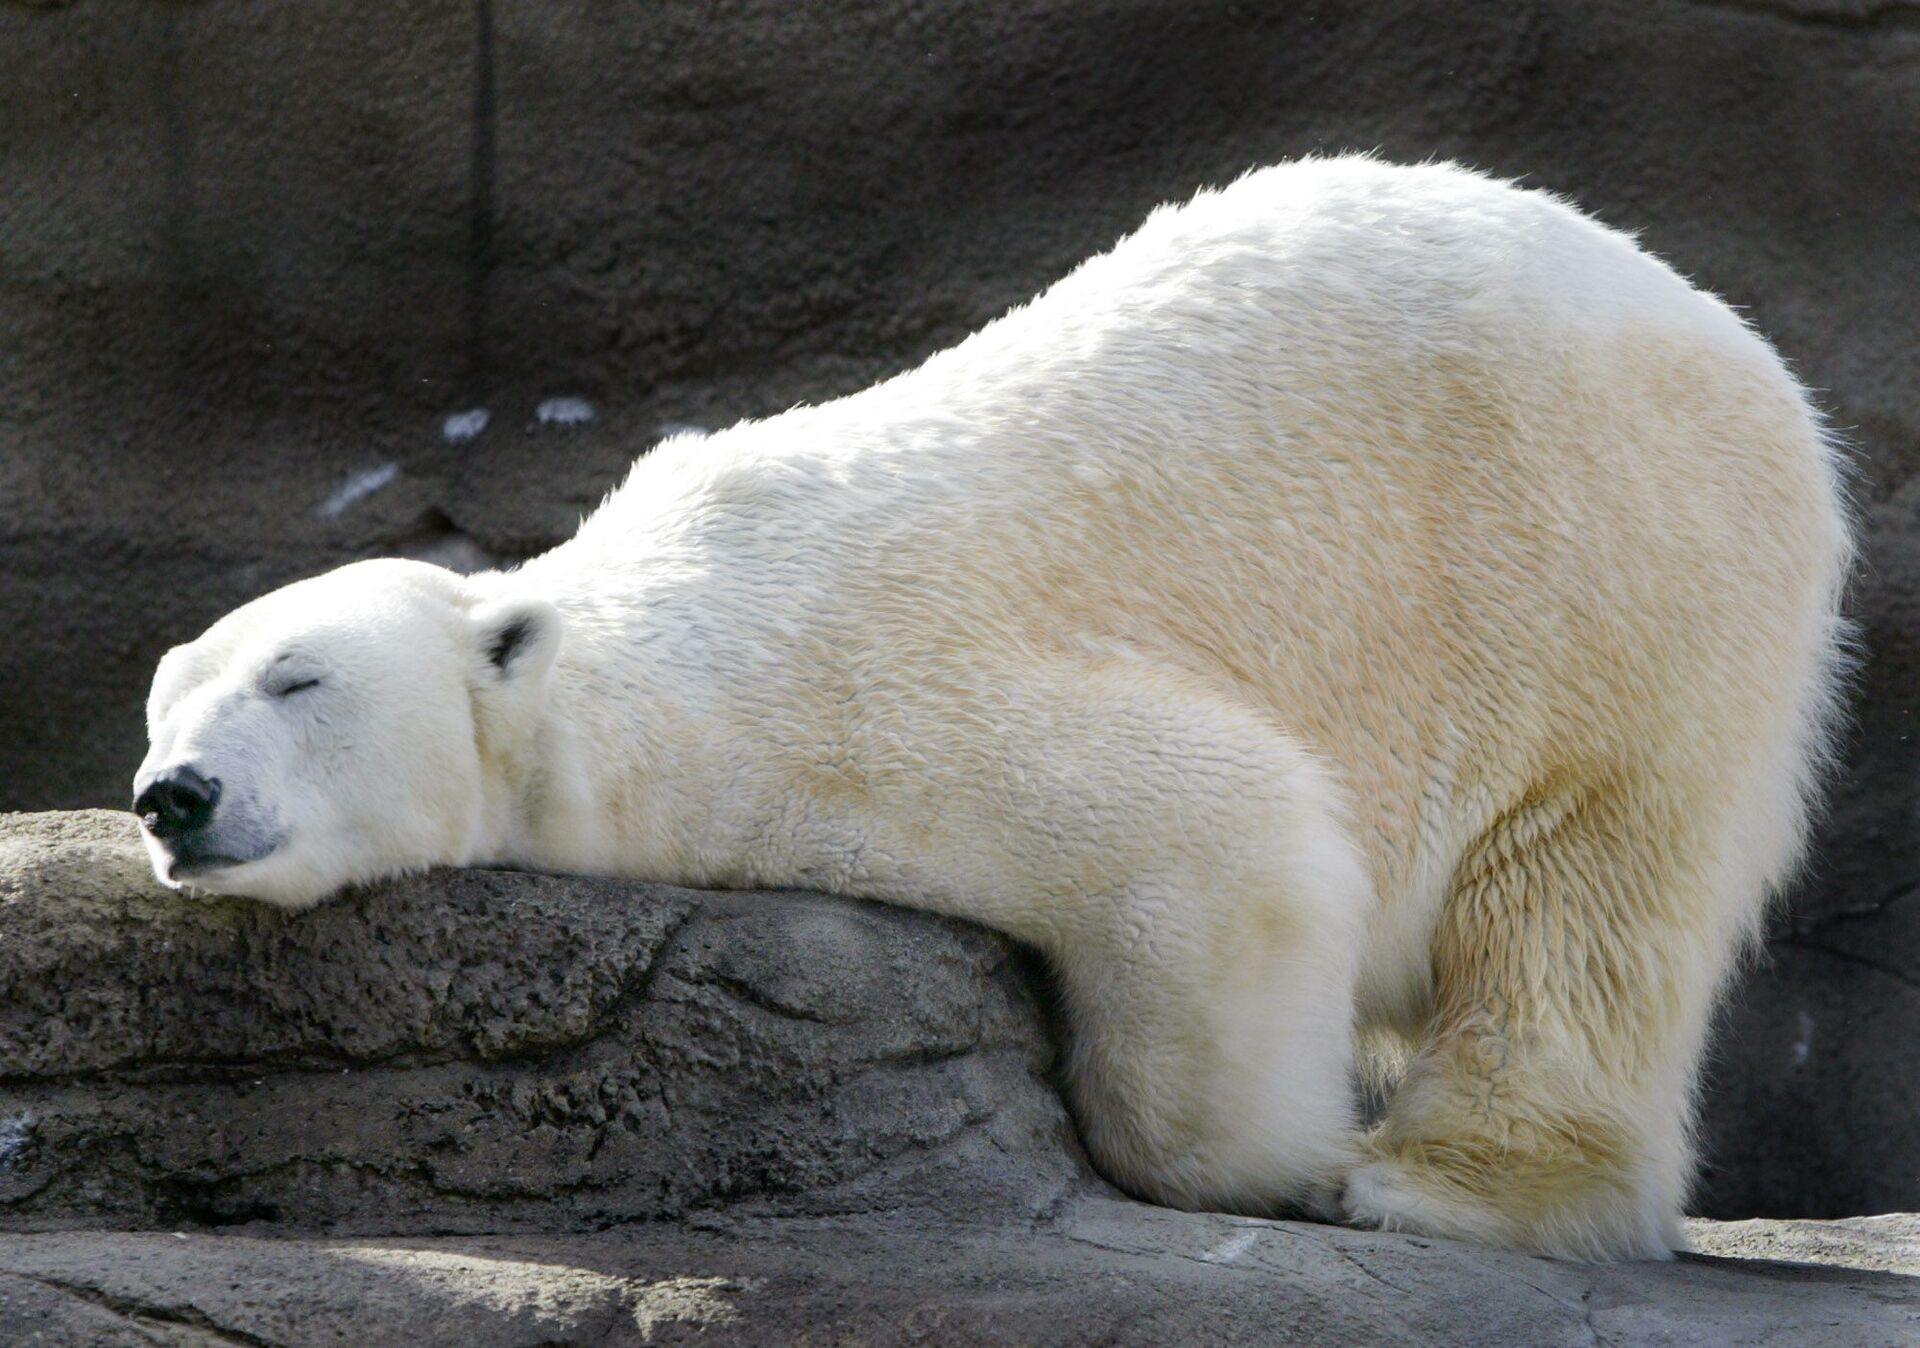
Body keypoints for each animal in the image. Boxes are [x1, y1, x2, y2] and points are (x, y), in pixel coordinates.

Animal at [131, 161, 1843, 1267]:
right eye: (162, 705)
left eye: (296, 679)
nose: (174, 797)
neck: (622, 662)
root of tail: (1752, 359)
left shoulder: (852, 699)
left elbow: (1226, 825)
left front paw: (1285, 1166)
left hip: (1604, 570)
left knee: (1582, 881)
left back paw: (1444, 1186)